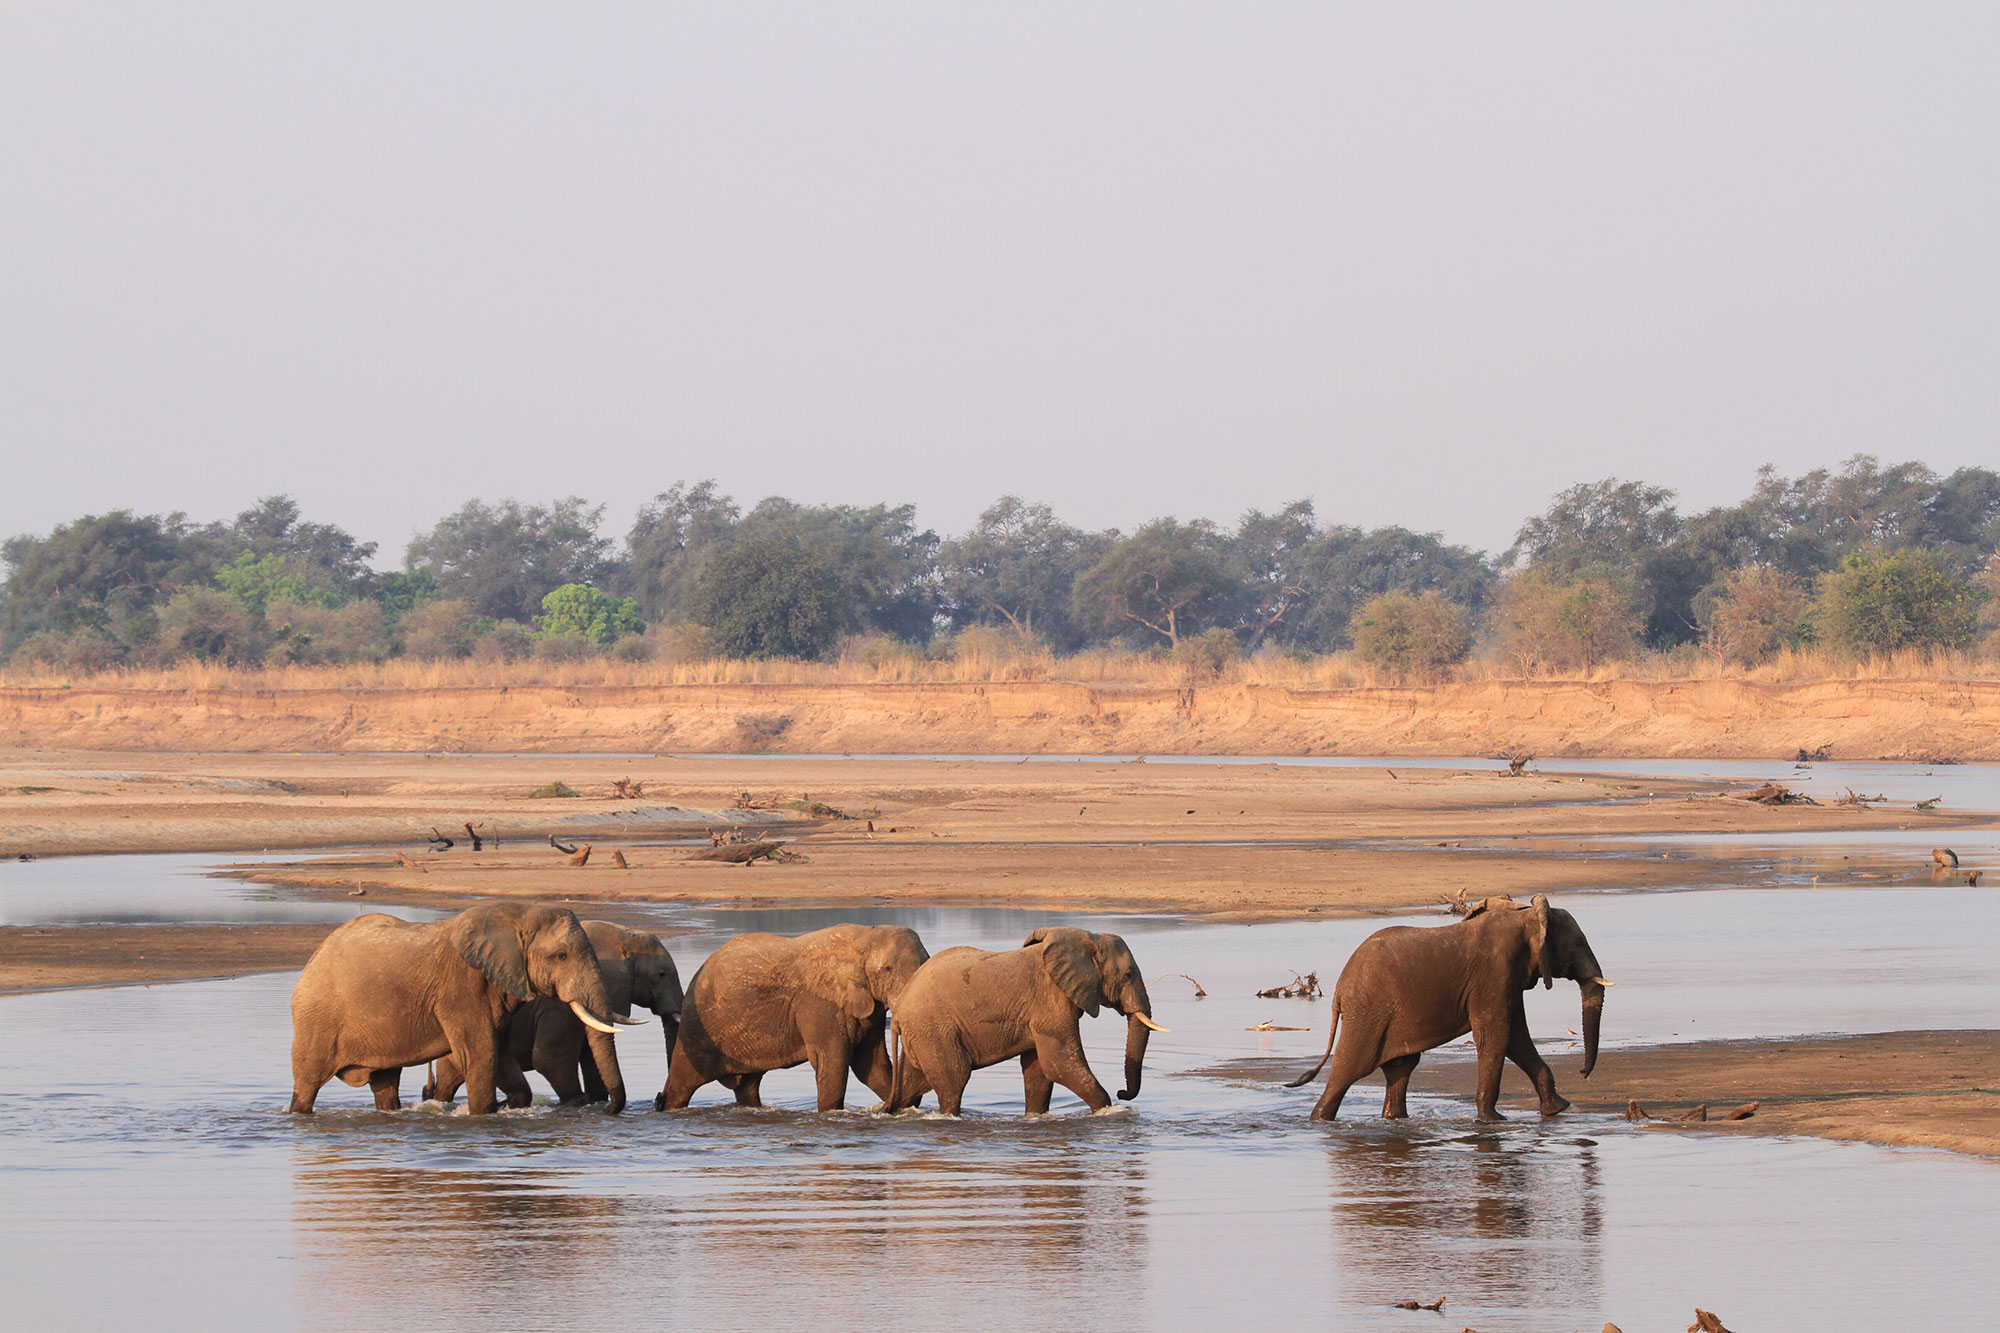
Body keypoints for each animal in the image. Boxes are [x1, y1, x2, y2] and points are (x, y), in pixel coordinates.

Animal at [284, 904, 632, 1112]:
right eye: (561, 956)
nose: (608, 1109)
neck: (516, 914)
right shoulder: (459, 990)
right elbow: (480, 1052)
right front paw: (484, 1114)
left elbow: (498, 1050)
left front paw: (509, 1105)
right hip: (317, 1020)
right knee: (308, 1083)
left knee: (385, 1084)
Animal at [422, 912, 680, 1112]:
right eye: (661, 975)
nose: (659, 1099)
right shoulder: (560, 1007)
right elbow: (549, 1058)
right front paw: (579, 1103)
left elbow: (590, 1059)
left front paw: (597, 1102)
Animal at [660, 920, 932, 1104]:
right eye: (886, 970)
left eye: (927, 961)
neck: (865, 936)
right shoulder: (816, 1003)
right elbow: (833, 1060)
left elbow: (871, 1066)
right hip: (697, 1024)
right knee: (681, 1086)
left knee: (747, 1088)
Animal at [884, 924, 1168, 1112]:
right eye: (1128, 975)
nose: (1123, 1092)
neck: (1085, 939)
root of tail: (899, 1011)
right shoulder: (1048, 1003)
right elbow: (1059, 1064)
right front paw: (1107, 1110)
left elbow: (1039, 1070)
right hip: (935, 1031)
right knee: (953, 1083)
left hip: (923, 1035)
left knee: (912, 1085)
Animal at [1296, 888, 1608, 1112]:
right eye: (1579, 943)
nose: (1582, 1072)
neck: (1526, 917)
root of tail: (1339, 990)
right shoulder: (1493, 974)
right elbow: (1496, 1036)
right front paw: (1491, 1120)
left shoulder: (1507, 979)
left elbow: (1516, 1037)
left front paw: (1557, 1109)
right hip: (1368, 1014)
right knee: (1346, 1074)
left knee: (1400, 1069)